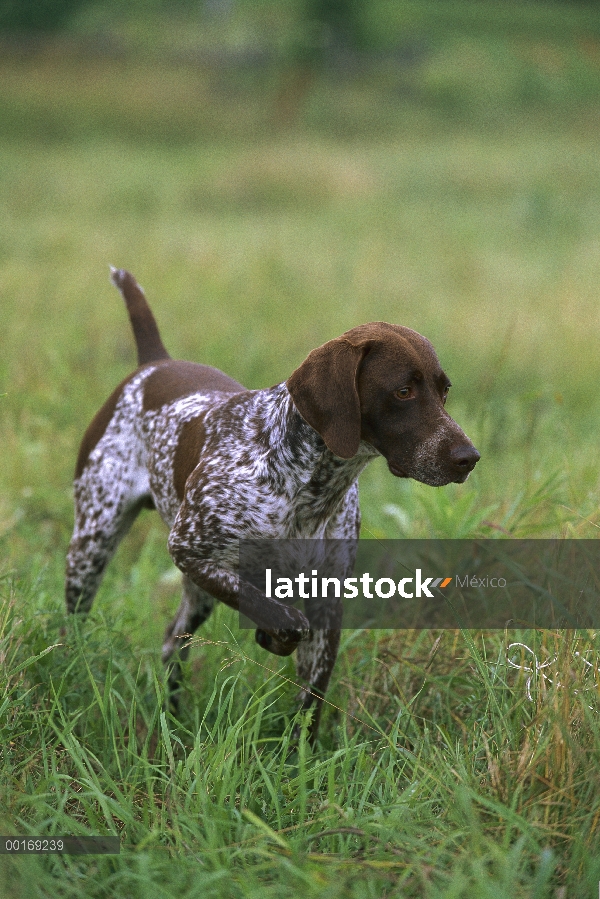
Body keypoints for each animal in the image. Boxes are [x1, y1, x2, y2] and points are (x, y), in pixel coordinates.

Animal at [64, 270, 478, 740]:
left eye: (444, 391)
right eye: (403, 391)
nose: (468, 457)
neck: (308, 487)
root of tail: (155, 363)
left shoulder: (326, 598)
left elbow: (311, 700)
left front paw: (299, 755)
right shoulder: (190, 550)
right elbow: (282, 617)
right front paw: (271, 635)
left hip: (193, 593)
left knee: (173, 640)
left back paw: (173, 718)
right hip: (94, 543)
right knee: (78, 624)